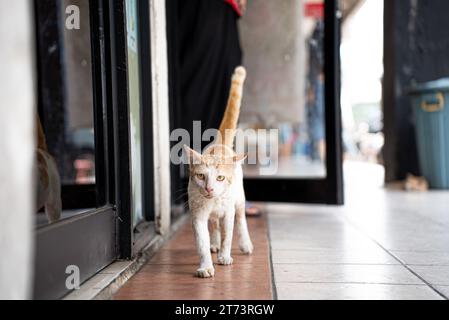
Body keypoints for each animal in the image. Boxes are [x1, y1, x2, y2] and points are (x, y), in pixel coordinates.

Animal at [183, 67, 252, 278]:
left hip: (239, 199)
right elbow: (202, 243)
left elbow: (228, 236)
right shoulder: (198, 215)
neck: (212, 202)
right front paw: (206, 266)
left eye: (220, 177)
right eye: (201, 176)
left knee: (241, 220)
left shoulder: (228, 213)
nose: (209, 189)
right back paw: (214, 244)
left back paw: (245, 244)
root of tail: (220, 144)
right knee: (213, 225)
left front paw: (225, 256)